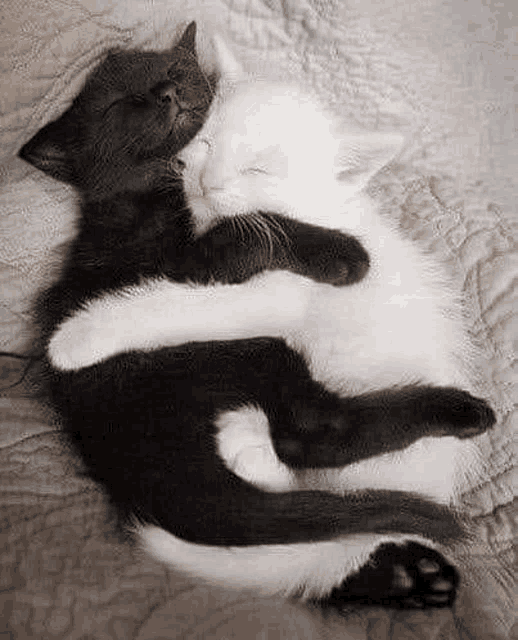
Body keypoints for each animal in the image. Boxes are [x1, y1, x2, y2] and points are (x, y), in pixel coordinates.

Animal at [20, 21, 498, 608]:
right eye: (205, 143)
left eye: (258, 169)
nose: (208, 183)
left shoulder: (270, 292)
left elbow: (182, 299)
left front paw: (78, 335)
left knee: (314, 435)